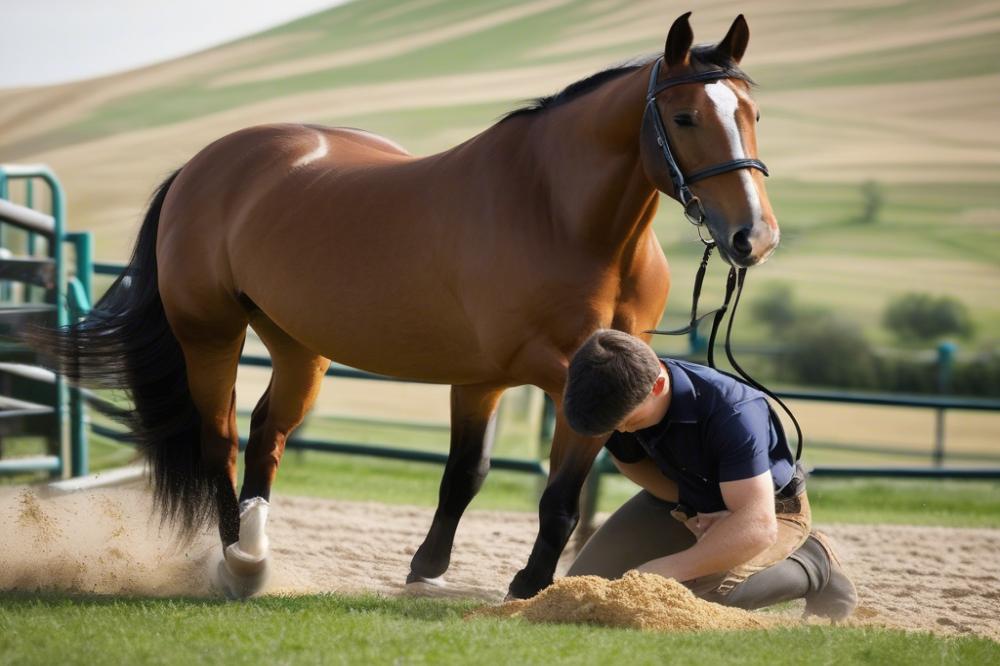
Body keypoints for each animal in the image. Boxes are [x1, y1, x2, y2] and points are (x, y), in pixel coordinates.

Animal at [33, 14, 780, 596]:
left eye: (752, 115)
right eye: (684, 117)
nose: (754, 235)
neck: (557, 214)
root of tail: (202, 165)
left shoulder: (498, 379)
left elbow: (480, 478)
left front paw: (436, 569)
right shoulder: (548, 368)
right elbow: (545, 491)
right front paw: (526, 584)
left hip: (299, 345)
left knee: (268, 432)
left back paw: (255, 547)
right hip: (210, 333)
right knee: (220, 438)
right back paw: (234, 563)